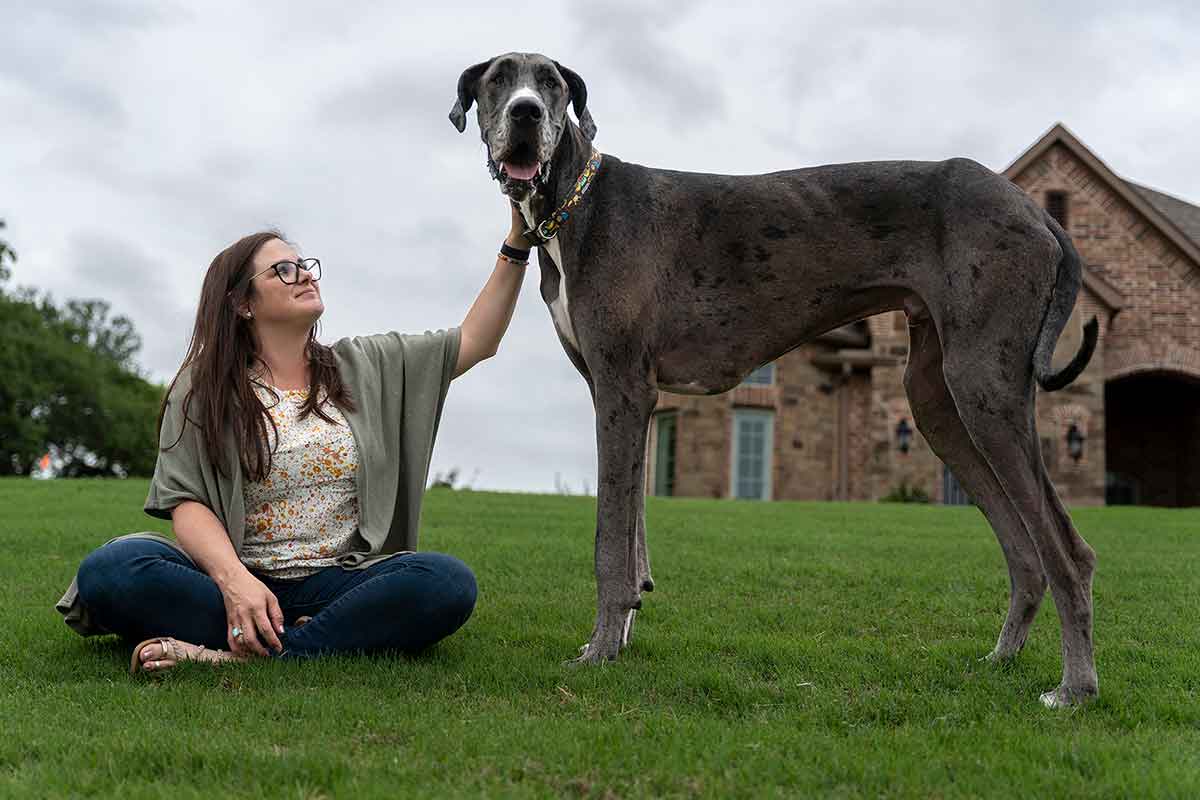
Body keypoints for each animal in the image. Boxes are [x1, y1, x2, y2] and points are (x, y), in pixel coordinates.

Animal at [448, 51, 1099, 705]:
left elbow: (611, 541)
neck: (576, 204)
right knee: (1026, 552)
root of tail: (1037, 211)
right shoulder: (629, 399)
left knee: (1069, 551)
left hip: (983, 387)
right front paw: (619, 636)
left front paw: (601, 651)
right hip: (938, 402)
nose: (526, 113)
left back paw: (1074, 688)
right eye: (498, 80)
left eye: (551, 83)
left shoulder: (622, 389)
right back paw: (1002, 659)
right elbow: (633, 535)